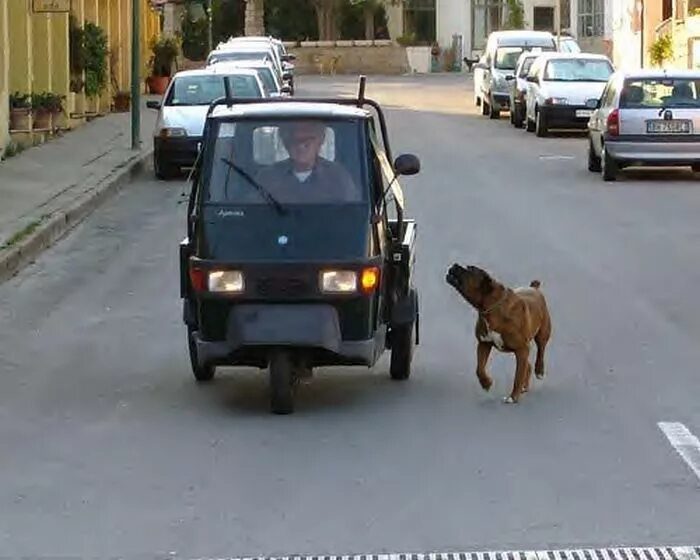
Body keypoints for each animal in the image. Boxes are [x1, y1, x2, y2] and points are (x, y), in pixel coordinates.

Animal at [448, 264, 552, 402]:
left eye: (470, 269)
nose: (455, 264)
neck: (491, 307)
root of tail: (534, 288)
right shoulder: (484, 344)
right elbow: (479, 368)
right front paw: (486, 383)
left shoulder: (522, 348)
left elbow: (517, 376)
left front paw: (513, 397)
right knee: (527, 366)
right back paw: (524, 386)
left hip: (542, 333)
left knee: (540, 351)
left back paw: (539, 371)